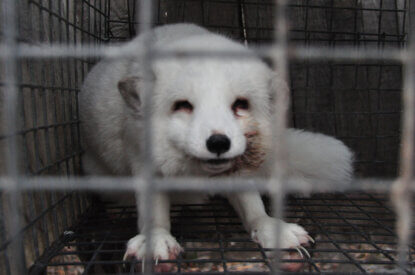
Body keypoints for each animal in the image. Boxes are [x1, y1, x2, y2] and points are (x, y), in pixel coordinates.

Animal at [79, 24, 354, 274]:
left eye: (241, 104)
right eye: (183, 105)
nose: (219, 142)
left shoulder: (239, 171)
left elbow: (252, 205)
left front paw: (269, 227)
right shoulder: (140, 155)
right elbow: (153, 213)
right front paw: (155, 238)